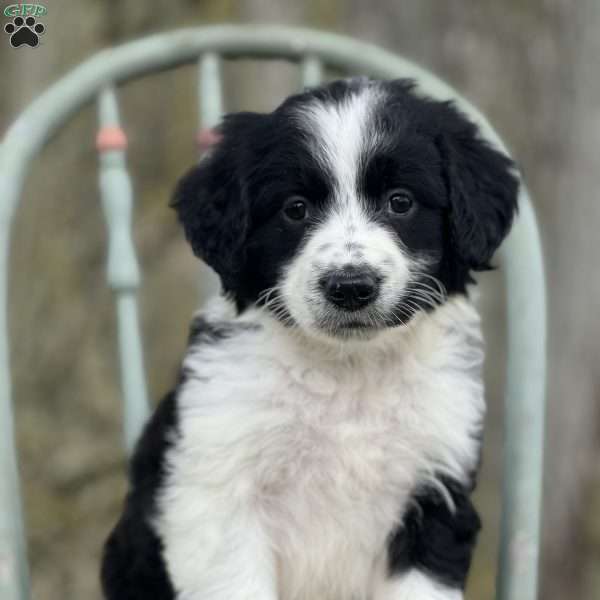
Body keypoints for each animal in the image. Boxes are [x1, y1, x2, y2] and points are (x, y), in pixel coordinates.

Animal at [101, 77, 516, 600]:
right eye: (295, 209)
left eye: (400, 201)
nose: (351, 286)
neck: (348, 371)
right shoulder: (218, 490)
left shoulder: (435, 491)